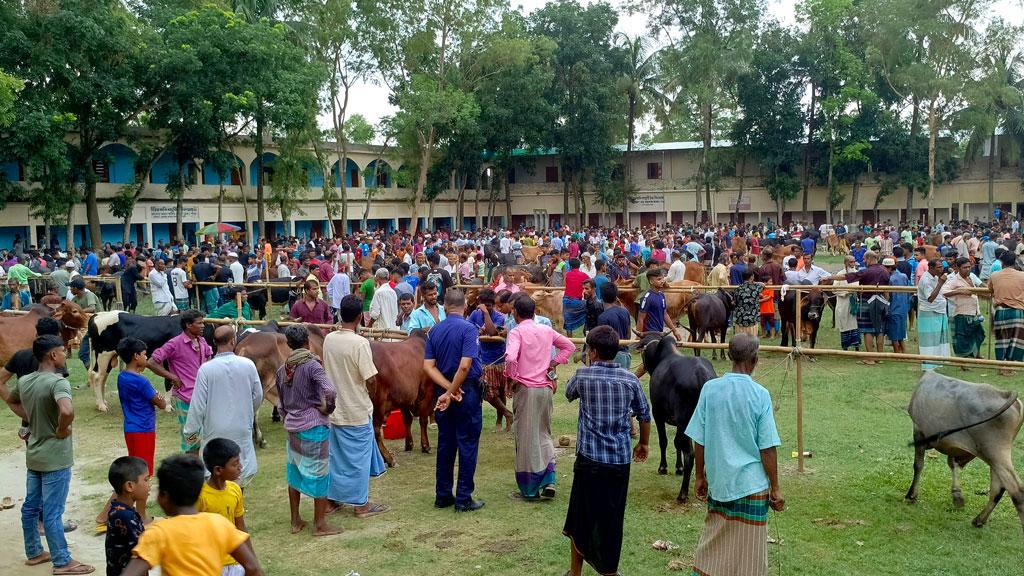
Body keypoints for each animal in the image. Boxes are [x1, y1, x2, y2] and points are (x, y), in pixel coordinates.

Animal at [643, 334, 716, 500]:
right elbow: (677, 443)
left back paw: (683, 493)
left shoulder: (657, 413)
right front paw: (679, 467)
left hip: (685, 420)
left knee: (690, 454)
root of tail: (701, 374)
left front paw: (663, 467)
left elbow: (664, 441)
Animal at [905, 373, 1024, 532]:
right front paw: (957, 496)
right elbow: (953, 465)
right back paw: (979, 520)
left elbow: (918, 465)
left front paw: (911, 495)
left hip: (995, 451)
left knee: (1016, 490)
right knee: (998, 487)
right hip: (995, 456)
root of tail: (1004, 393)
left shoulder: (918, 432)